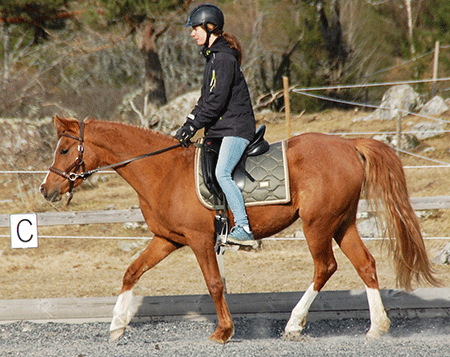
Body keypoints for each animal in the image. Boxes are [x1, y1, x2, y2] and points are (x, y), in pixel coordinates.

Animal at [40, 116, 438, 342]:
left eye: (64, 150)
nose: (46, 190)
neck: (164, 171)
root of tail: (348, 144)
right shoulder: (167, 239)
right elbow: (131, 272)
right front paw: (117, 326)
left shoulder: (200, 240)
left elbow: (215, 284)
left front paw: (223, 331)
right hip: (342, 222)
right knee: (365, 265)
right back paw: (377, 328)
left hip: (318, 225)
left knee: (325, 267)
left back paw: (294, 325)